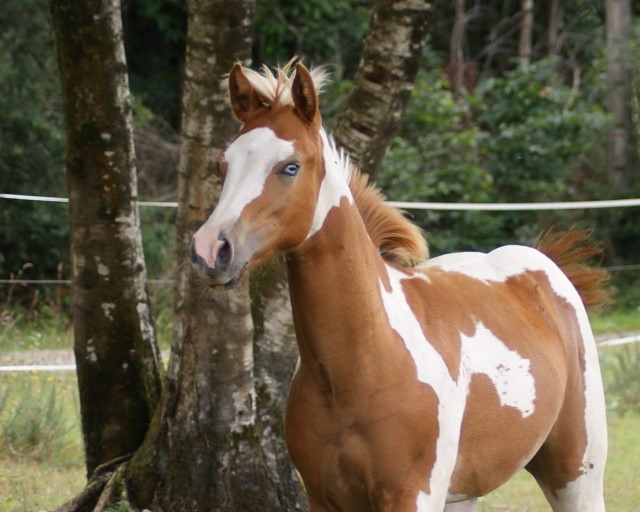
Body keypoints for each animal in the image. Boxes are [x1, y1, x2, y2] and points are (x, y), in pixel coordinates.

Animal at [190, 61, 609, 512]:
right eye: (222, 166)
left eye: (290, 166)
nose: (210, 249)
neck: (356, 368)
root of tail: (543, 265)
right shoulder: (323, 497)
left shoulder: (411, 495)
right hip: (464, 493)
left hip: (576, 476)